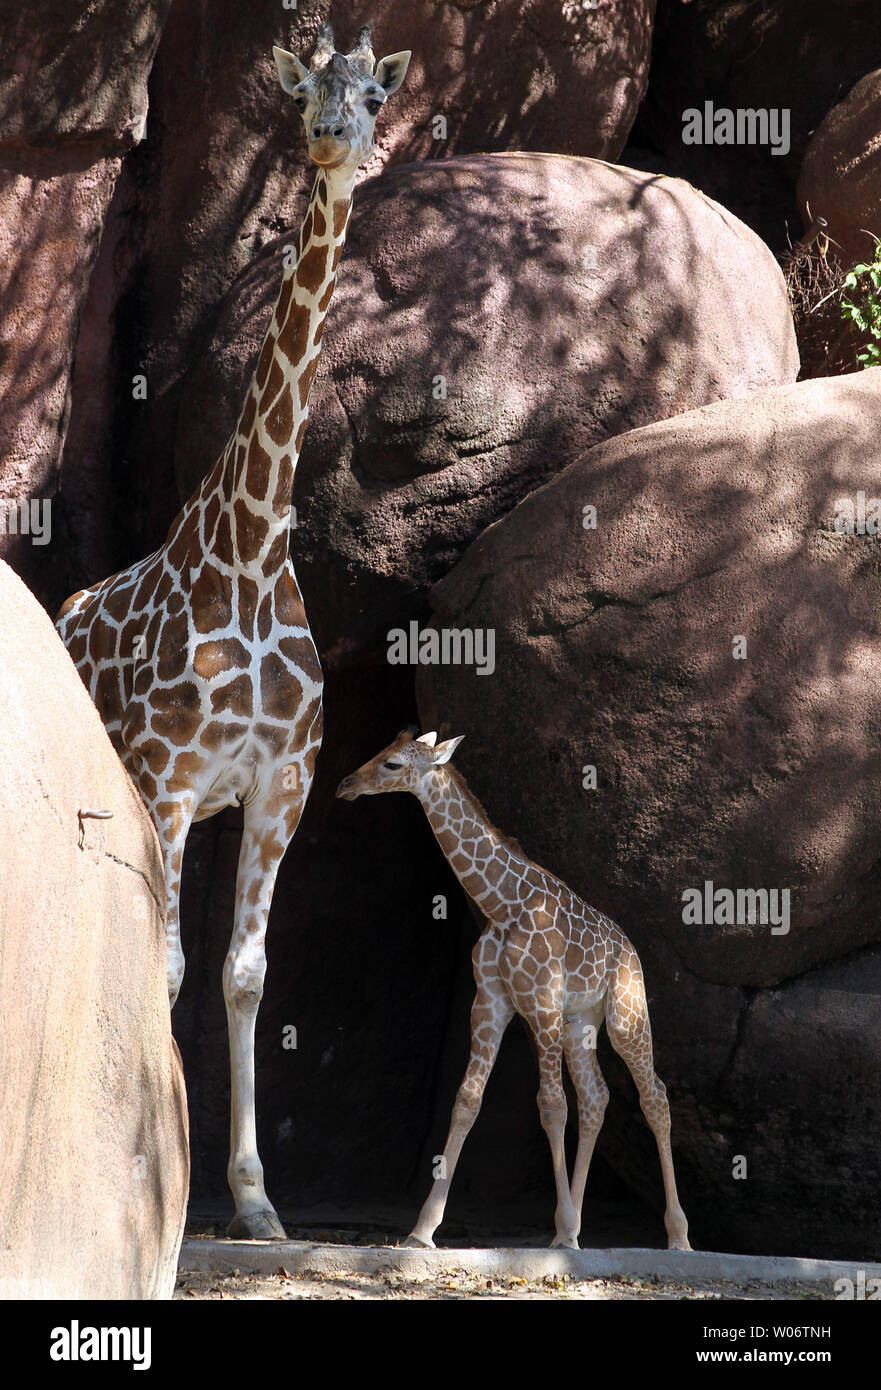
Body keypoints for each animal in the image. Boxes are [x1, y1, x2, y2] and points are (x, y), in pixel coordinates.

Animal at [58, 19, 408, 1239]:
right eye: (307, 92)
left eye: (371, 95)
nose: (329, 139)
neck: (252, 553)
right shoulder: (167, 780)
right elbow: (161, 967)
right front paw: (151, 1176)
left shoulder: (277, 783)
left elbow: (243, 972)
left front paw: (255, 1199)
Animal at [336, 733, 686, 1256]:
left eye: (392, 763)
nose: (345, 783)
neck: (502, 904)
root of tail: (630, 948)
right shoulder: (490, 1003)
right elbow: (467, 1099)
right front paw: (423, 1229)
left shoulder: (541, 1004)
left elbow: (552, 1105)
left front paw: (563, 1227)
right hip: (581, 1022)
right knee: (597, 1097)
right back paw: (577, 1229)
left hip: (626, 1013)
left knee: (654, 1097)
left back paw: (678, 1236)